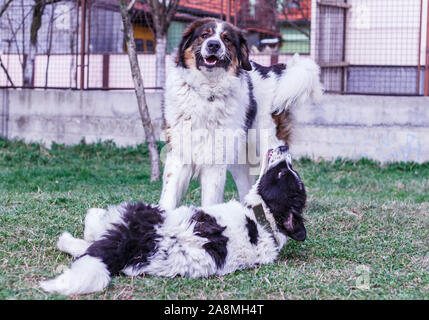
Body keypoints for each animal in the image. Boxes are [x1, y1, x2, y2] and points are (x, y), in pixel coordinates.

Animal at [39, 146, 304, 296]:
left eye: (282, 173)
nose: (284, 146)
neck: (262, 222)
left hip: (134, 212)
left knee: (90, 230)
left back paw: (66, 239)